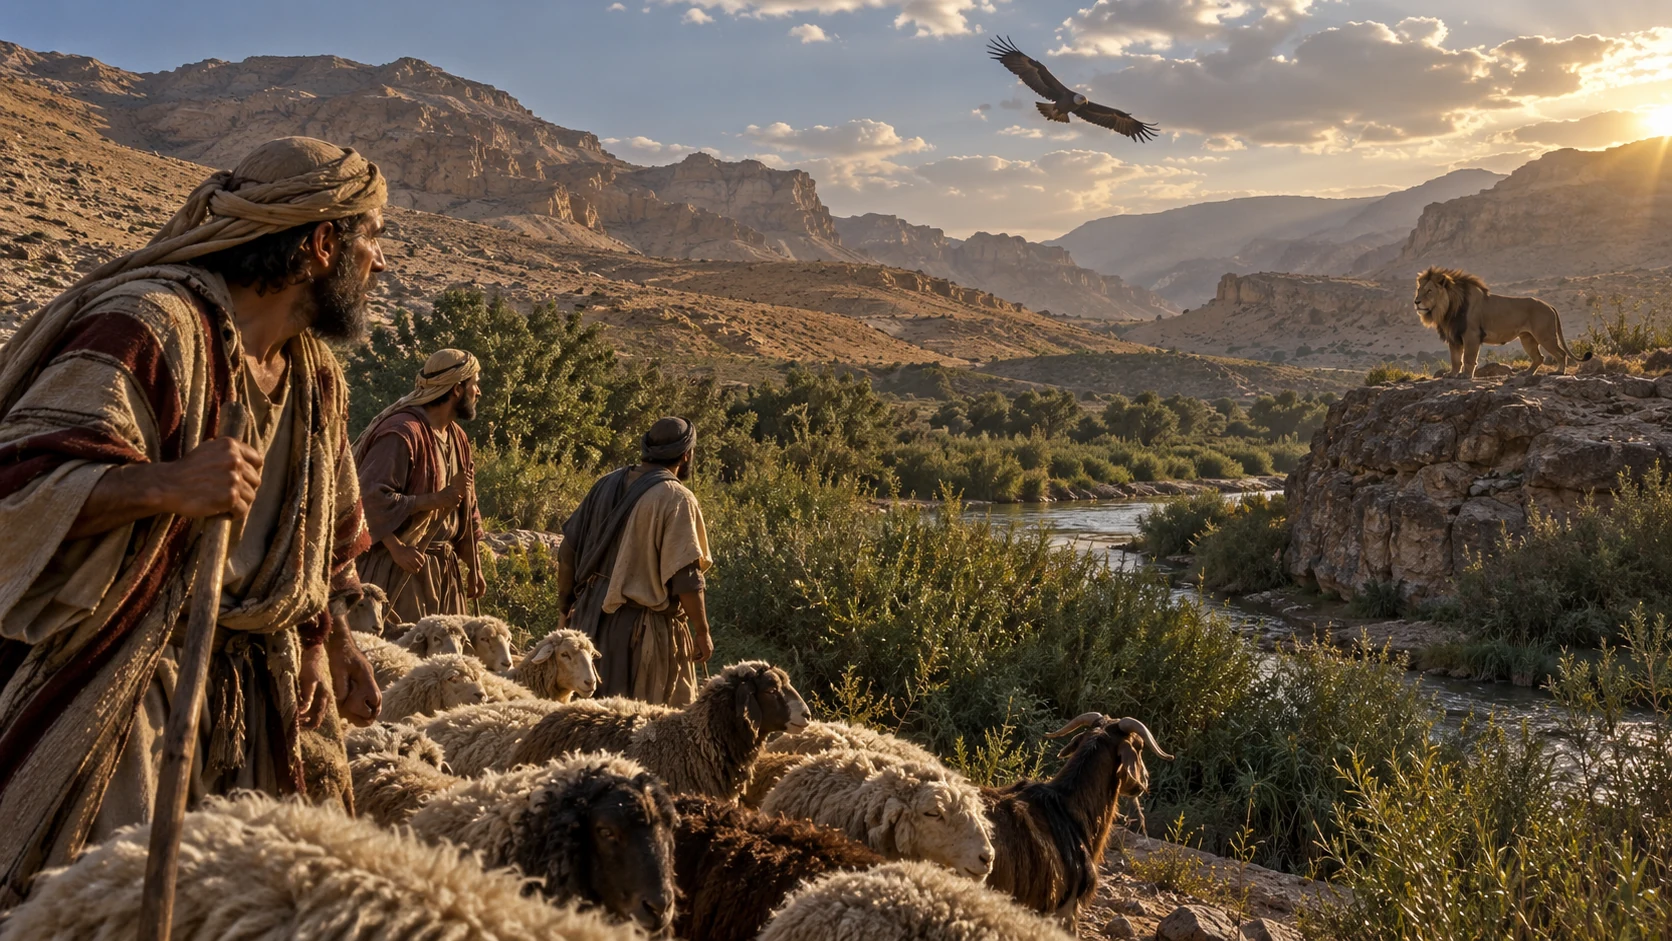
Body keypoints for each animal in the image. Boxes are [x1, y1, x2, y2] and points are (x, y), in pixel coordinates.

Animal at [1414, 266, 1591, 378]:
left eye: (1429, 291)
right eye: (1419, 290)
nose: (1416, 302)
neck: (1448, 309)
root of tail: (1550, 306)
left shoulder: (1471, 335)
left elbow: (1468, 358)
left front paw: (1465, 376)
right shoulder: (1454, 337)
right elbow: (1455, 359)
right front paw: (1451, 375)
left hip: (1545, 336)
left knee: (1561, 353)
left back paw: (1559, 372)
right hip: (1527, 338)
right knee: (1539, 357)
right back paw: (1527, 373)